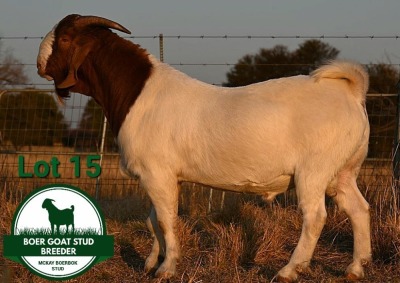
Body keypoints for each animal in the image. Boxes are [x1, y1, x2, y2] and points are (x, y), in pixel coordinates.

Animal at [38, 15, 372, 282]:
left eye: (65, 39)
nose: (40, 64)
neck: (138, 93)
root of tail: (350, 93)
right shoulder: (162, 175)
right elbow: (154, 219)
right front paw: (150, 263)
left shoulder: (156, 172)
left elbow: (165, 219)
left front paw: (167, 269)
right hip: (343, 171)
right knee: (358, 208)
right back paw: (356, 268)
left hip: (314, 170)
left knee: (315, 217)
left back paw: (289, 270)